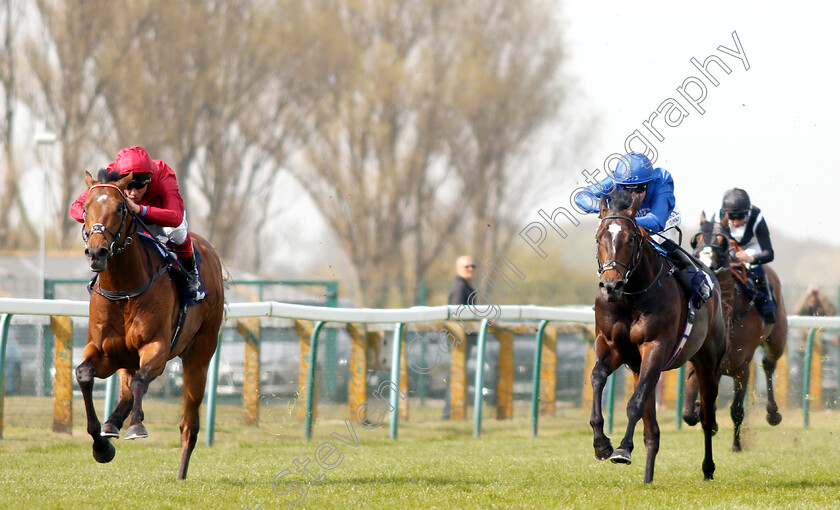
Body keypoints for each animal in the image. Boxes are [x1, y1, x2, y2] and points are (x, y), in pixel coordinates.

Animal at [75, 170, 225, 478]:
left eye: (119, 209)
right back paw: (112, 423)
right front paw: (101, 446)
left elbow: (142, 381)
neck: (123, 289)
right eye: (85, 208)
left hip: (200, 354)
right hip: (126, 359)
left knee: (188, 422)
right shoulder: (105, 352)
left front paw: (136, 425)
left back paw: (181, 470)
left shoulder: (156, 347)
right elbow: (84, 375)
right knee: (126, 390)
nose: (96, 252)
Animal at [592, 191, 728, 482]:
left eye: (631, 238)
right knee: (652, 430)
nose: (611, 286)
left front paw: (622, 449)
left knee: (707, 416)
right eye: (599, 238)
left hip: (707, 361)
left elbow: (635, 403)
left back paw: (708, 468)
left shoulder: (655, 347)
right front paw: (601, 444)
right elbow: (597, 378)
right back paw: (648, 476)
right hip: (639, 367)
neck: (630, 297)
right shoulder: (611, 347)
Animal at [684, 211, 792, 450]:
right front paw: (700, 412)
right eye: (696, 240)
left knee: (769, 365)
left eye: (722, 241)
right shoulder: (696, 362)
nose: (704, 264)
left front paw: (736, 445)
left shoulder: (742, 367)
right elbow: (688, 413)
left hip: (777, 340)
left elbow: (737, 410)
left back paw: (773, 414)